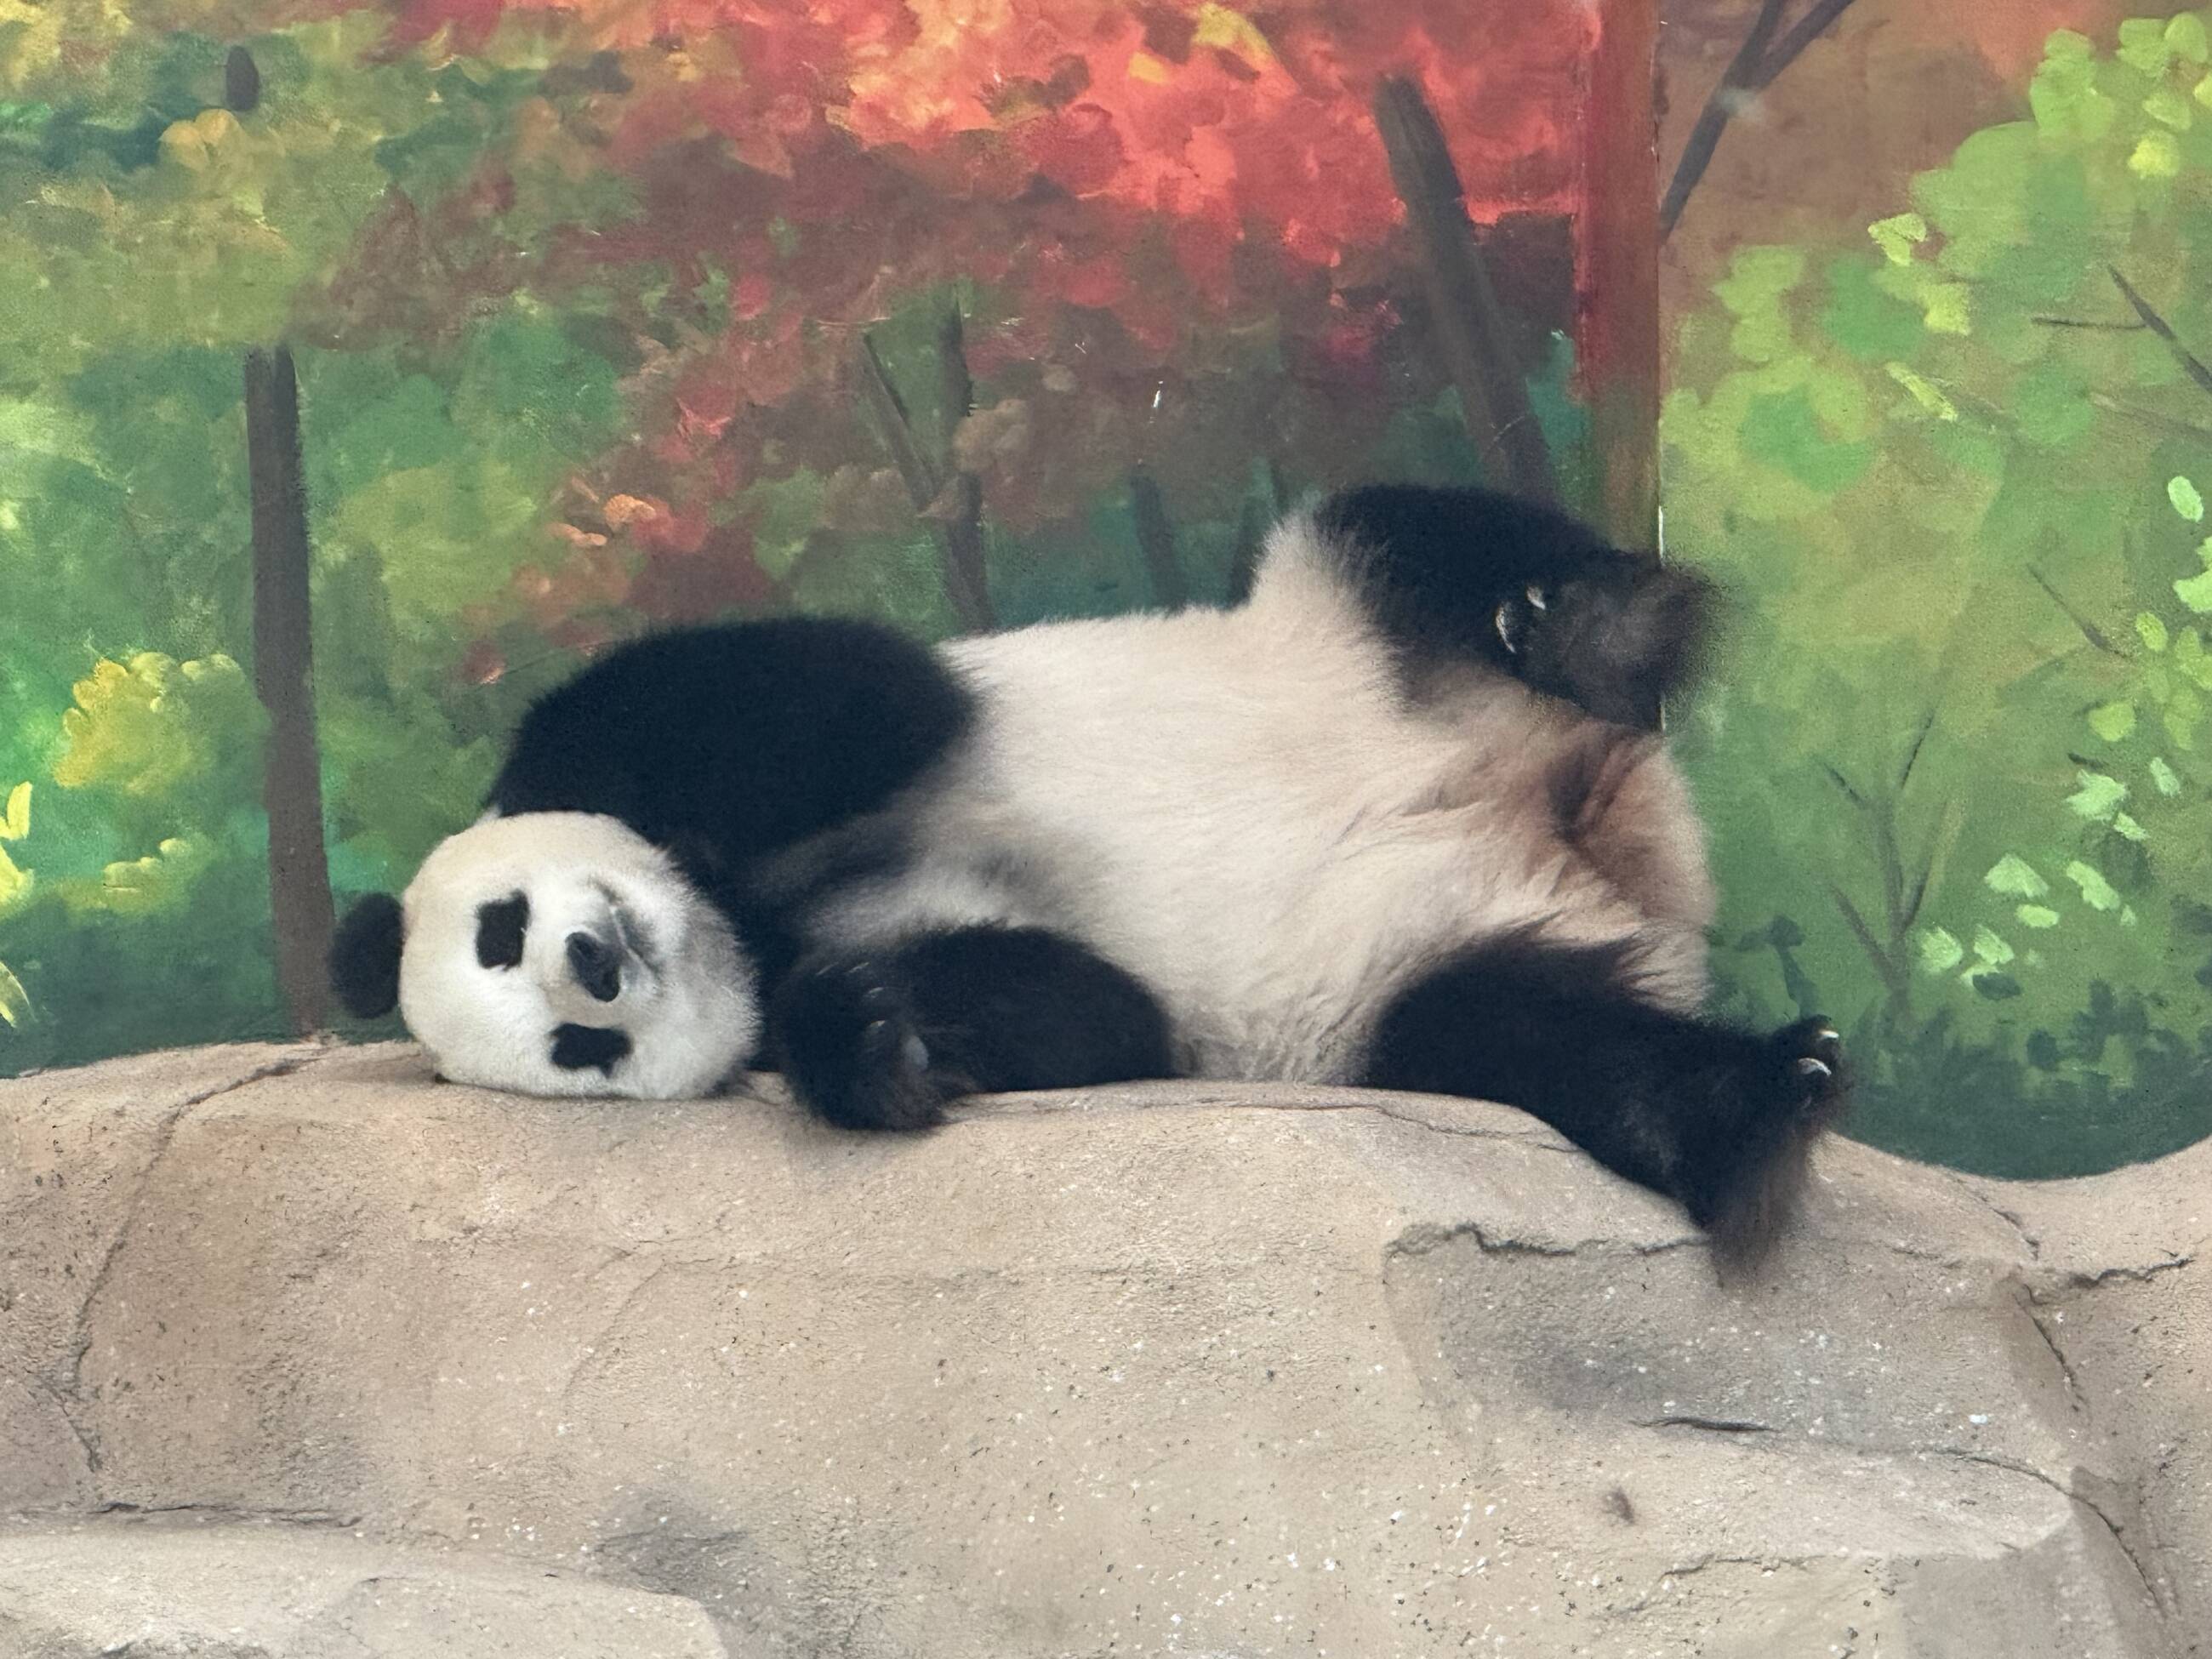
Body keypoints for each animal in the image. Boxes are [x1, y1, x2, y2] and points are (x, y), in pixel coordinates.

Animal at [331, 485, 1848, 1264]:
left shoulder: (835, 722)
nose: (595, 964)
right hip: (1415, 968)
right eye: (573, 1052)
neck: (747, 922)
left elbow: (832, 689)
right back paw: (1751, 1102)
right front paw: (875, 1036)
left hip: (1348, 634)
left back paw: (1586, 623)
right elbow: (1094, 1013)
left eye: (503, 926)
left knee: (1410, 533)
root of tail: (1592, 823)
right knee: (1531, 1033)